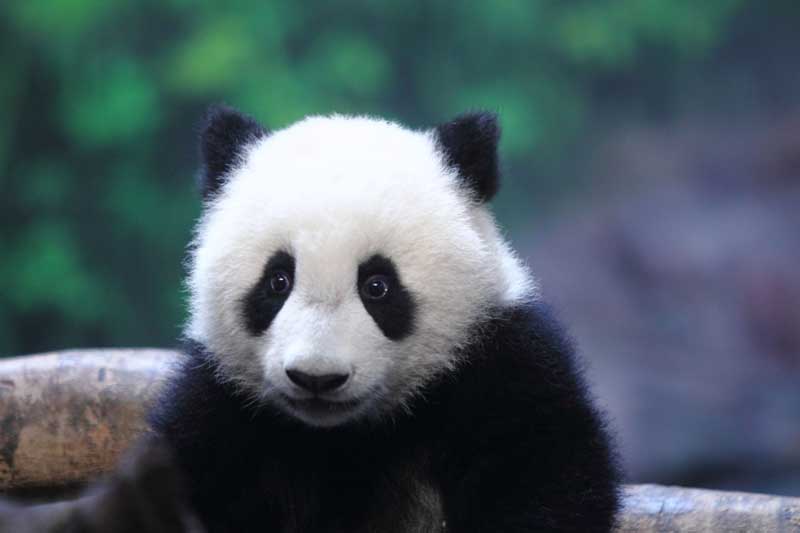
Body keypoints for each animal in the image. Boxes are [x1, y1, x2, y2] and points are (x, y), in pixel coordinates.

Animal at [148, 106, 620, 532]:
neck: (345, 435)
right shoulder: (221, 404)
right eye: (278, 281)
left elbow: (543, 472)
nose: (316, 378)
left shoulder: (499, 364)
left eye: (377, 286)